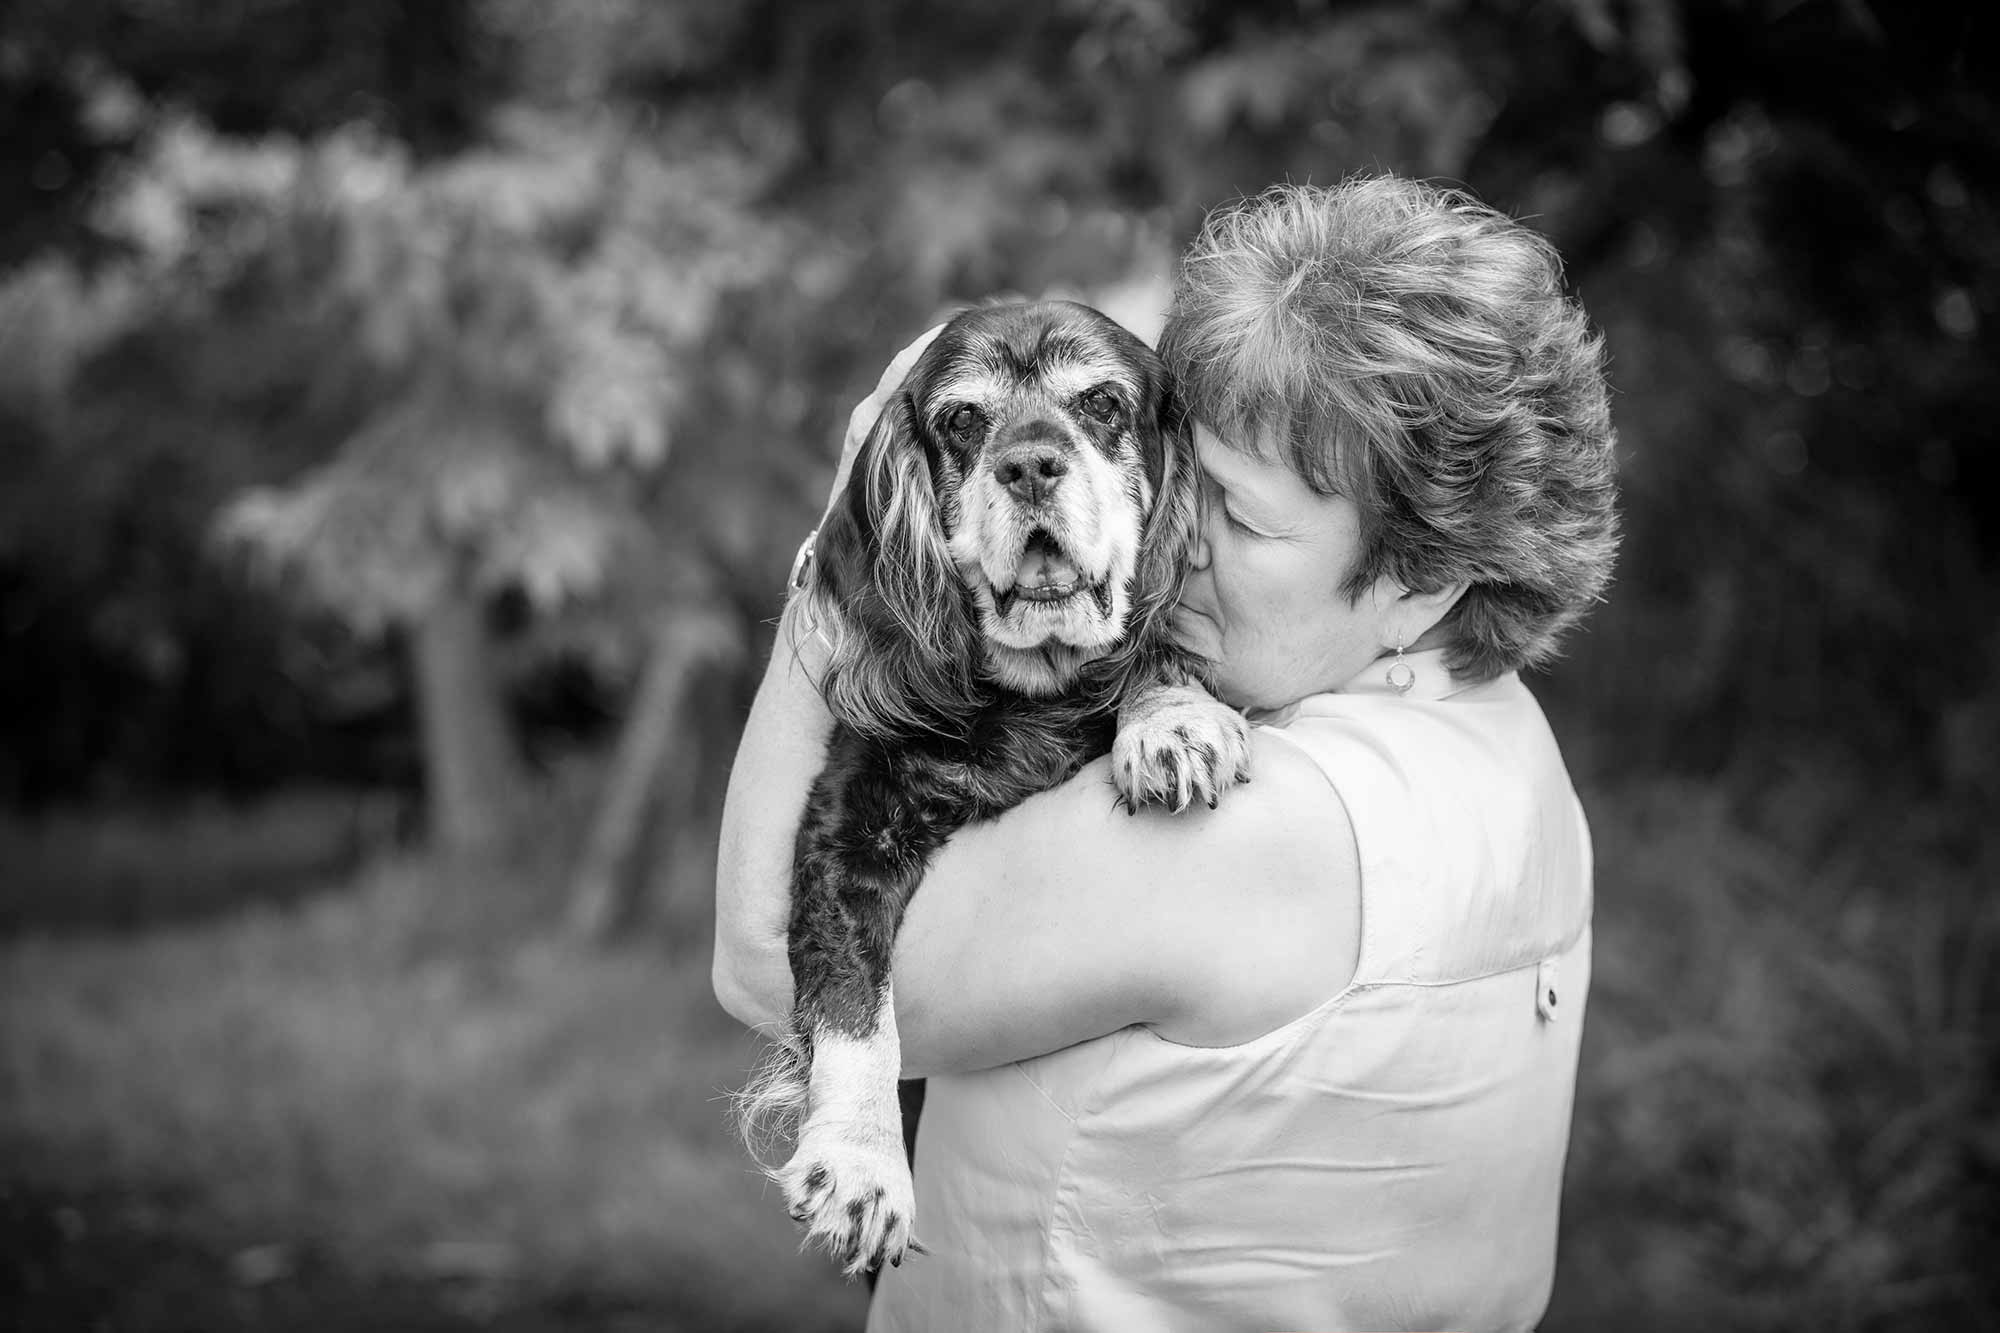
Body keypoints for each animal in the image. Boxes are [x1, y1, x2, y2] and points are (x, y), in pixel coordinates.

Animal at [748, 298, 1248, 1264]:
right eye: (963, 421)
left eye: (1100, 403)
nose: (1028, 465)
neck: (1031, 697)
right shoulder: (845, 826)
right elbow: (855, 1010)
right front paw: (861, 1163)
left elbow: (1154, 647)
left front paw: (1170, 717)